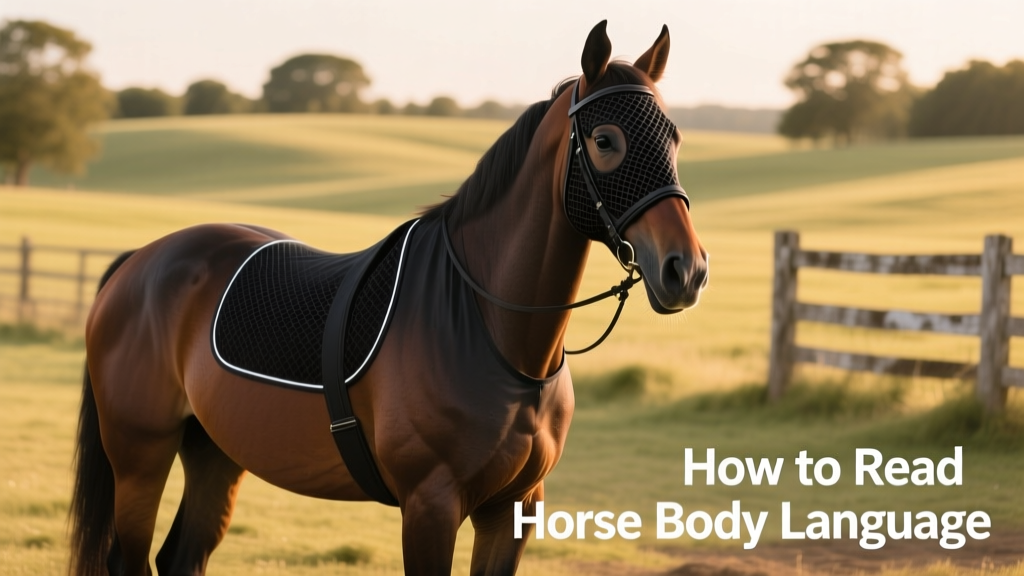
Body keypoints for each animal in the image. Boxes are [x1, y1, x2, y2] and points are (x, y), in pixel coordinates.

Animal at [70, 21, 708, 576]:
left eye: (674, 138)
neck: (488, 329)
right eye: (605, 140)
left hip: (214, 453)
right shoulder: (430, 508)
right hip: (140, 456)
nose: (686, 270)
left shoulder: (514, 510)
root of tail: (141, 261)